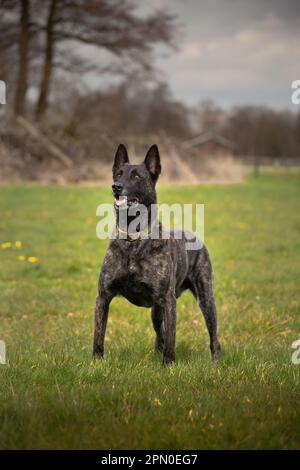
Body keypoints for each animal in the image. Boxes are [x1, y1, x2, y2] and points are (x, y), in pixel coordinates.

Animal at [92, 145, 221, 366]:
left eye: (136, 176)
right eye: (118, 174)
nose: (116, 186)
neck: (133, 238)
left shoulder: (168, 301)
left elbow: (171, 337)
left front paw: (169, 365)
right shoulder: (103, 296)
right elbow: (98, 334)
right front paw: (96, 362)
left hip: (205, 298)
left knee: (212, 333)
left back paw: (216, 359)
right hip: (156, 311)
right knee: (159, 332)